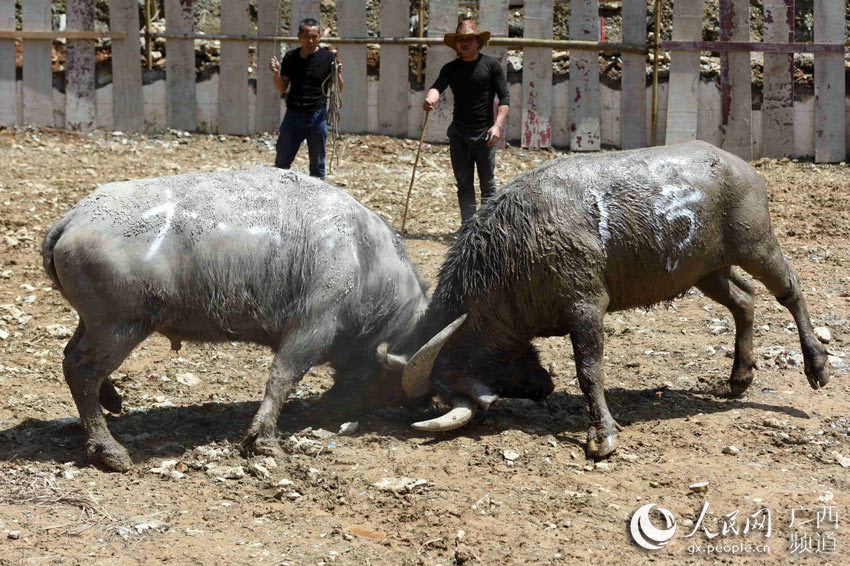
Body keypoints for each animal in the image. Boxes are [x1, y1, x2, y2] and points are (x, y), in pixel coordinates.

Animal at [43, 168, 428, 470]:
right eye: (391, 386)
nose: (331, 408)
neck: (364, 257)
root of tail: (73, 218)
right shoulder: (312, 328)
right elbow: (282, 377)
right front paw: (264, 440)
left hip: (94, 322)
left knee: (71, 353)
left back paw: (111, 399)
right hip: (119, 326)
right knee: (80, 369)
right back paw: (108, 450)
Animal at [398, 142, 828, 462]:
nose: (545, 387)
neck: (512, 247)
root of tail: (742, 167)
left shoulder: (586, 306)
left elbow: (590, 370)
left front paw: (601, 436)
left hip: (756, 245)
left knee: (791, 289)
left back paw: (817, 365)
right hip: (706, 271)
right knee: (744, 300)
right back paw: (739, 378)